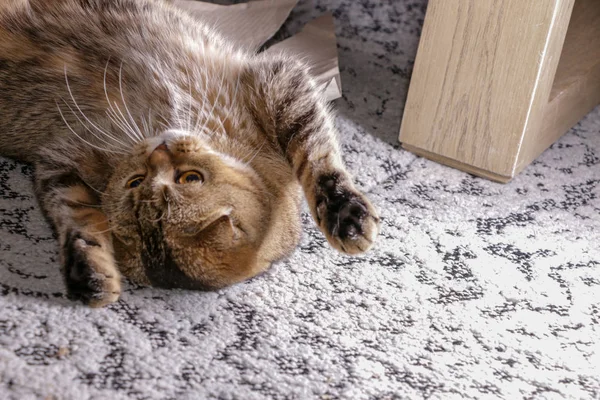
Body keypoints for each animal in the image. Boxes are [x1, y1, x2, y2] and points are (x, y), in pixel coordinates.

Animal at [0, 0, 380, 308]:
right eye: (136, 181)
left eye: (190, 178)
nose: (158, 148)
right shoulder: (62, 159)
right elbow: (74, 217)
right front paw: (88, 269)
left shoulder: (279, 82)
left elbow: (316, 157)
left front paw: (342, 209)